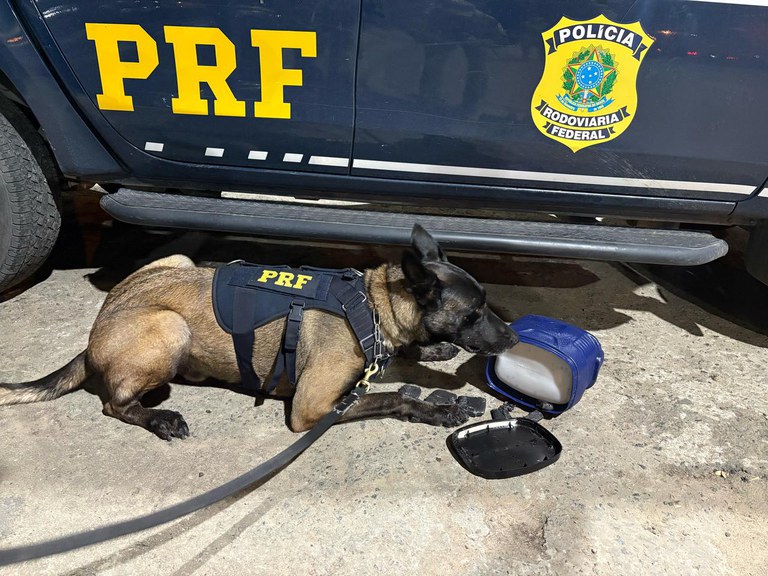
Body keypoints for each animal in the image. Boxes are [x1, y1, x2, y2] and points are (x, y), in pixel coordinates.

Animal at [1, 224, 516, 436]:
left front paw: (432, 353)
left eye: (485, 308)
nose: (512, 339)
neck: (374, 304)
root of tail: (95, 332)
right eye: (473, 315)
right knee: (114, 404)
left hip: (178, 260)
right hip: (170, 327)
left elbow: (403, 359)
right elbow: (392, 396)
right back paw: (158, 418)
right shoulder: (312, 408)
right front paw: (437, 410)